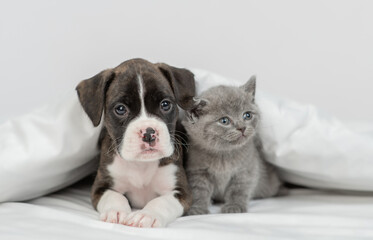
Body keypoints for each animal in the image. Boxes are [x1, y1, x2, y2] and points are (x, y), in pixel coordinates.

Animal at [77, 58, 196, 227]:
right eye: (120, 109)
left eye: (165, 104)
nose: (148, 133)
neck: (141, 165)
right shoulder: (101, 187)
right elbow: (114, 196)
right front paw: (116, 211)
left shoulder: (181, 192)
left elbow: (162, 202)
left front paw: (147, 215)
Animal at [181, 76, 282, 215]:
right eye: (224, 121)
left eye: (247, 115)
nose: (242, 128)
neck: (223, 156)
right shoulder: (197, 170)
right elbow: (198, 190)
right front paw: (197, 208)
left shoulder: (247, 169)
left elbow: (238, 189)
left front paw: (234, 206)